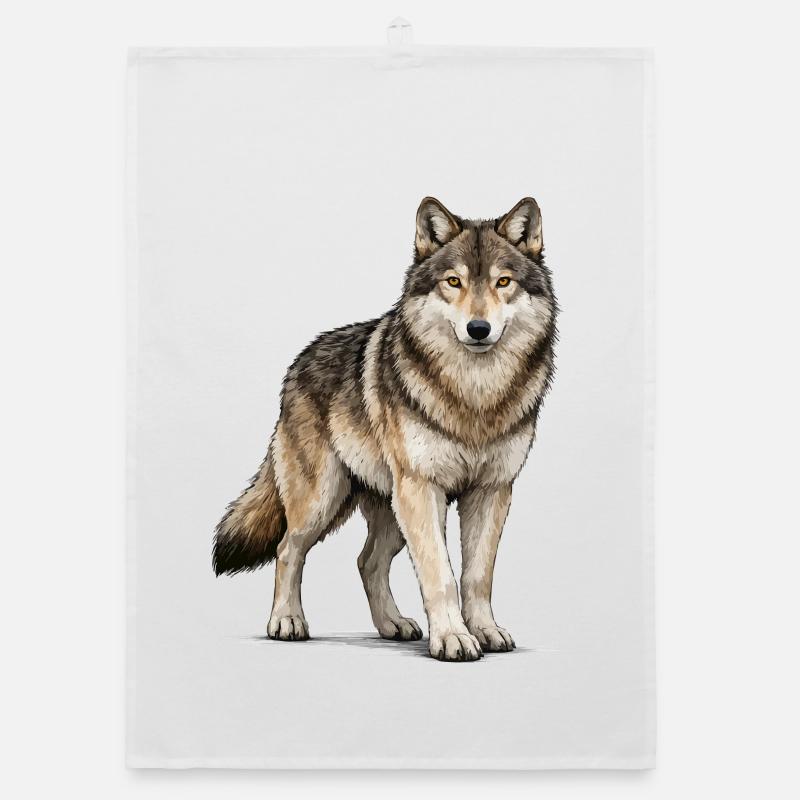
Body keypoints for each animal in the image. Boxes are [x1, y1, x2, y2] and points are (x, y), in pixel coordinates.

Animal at [213, 197, 557, 661]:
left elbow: (477, 576)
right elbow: (441, 575)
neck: (474, 395)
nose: (478, 329)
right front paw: (452, 638)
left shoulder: (492, 490)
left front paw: (484, 631)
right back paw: (286, 622)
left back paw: (392, 624)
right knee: (288, 549)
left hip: (391, 509)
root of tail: (298, 363)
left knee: (367, 561)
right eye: (453, 282)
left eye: (503, 282)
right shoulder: (422, 488)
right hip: (325, 500)